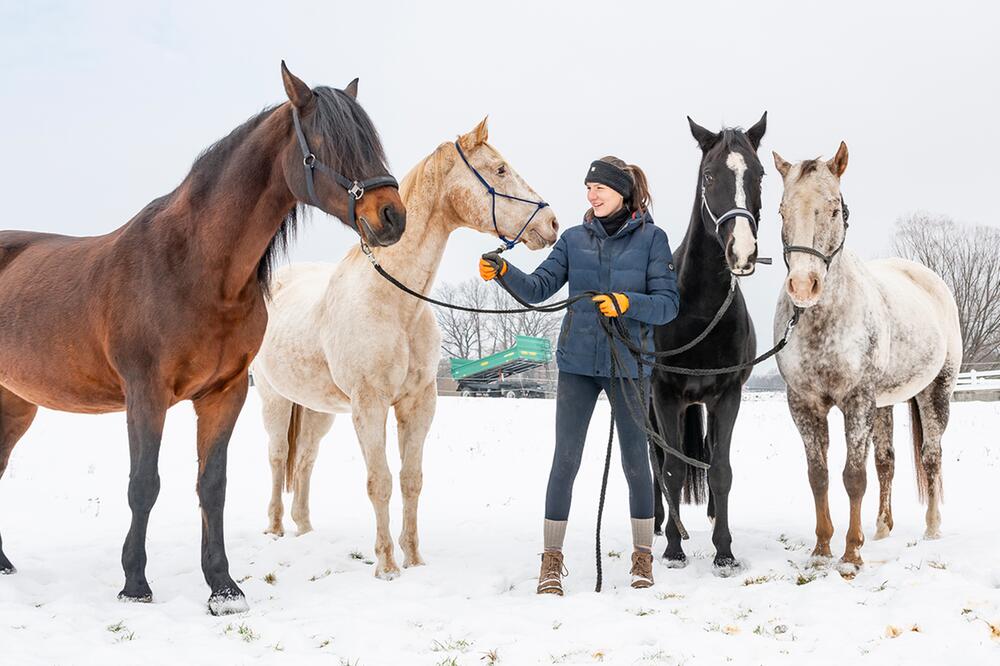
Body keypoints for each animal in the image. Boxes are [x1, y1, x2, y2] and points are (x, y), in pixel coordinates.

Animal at [0, 62, 406, 612]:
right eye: (329, 141)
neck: (194, 267)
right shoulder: (145, 394)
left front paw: (223, 586)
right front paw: (135, 584)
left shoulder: (224, 393)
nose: (392, 217)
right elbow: (143, 484)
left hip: (16, 403)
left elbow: (212, 485)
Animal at [250, 118, 560, 576]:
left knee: (304, 459)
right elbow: (379, 482)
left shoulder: (418, 404)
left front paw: (413, 558)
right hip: (275, 399)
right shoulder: (369, 404)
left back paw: (304, 528)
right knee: (276, 456)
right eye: (501, 169)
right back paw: (273, 528)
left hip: (318, 410)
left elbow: (411, 481)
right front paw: (387, 565)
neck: (396, 303)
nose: (552, 223)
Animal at [652, 114, 768, 572]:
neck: (697, 308)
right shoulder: (665, 396)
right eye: (709, 175)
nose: (742, 251)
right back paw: (658, 522)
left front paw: (724, 549)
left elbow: (720, 469)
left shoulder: (728, 395)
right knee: (653, 461)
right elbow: (671, 470)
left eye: (759, 174)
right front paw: (673, 547)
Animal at [772, 141, 960, 572]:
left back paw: (932, 529)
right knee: (887, 461)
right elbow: (819, 475)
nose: (803, 287)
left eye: (834, 209)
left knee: (931, 456)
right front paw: (822, 550)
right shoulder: (803, 404)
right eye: (782, 211)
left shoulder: (856, 401)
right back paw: (882, 528)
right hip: (884, 403)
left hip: (936, 392)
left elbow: (853, 476)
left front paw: (851, 555)